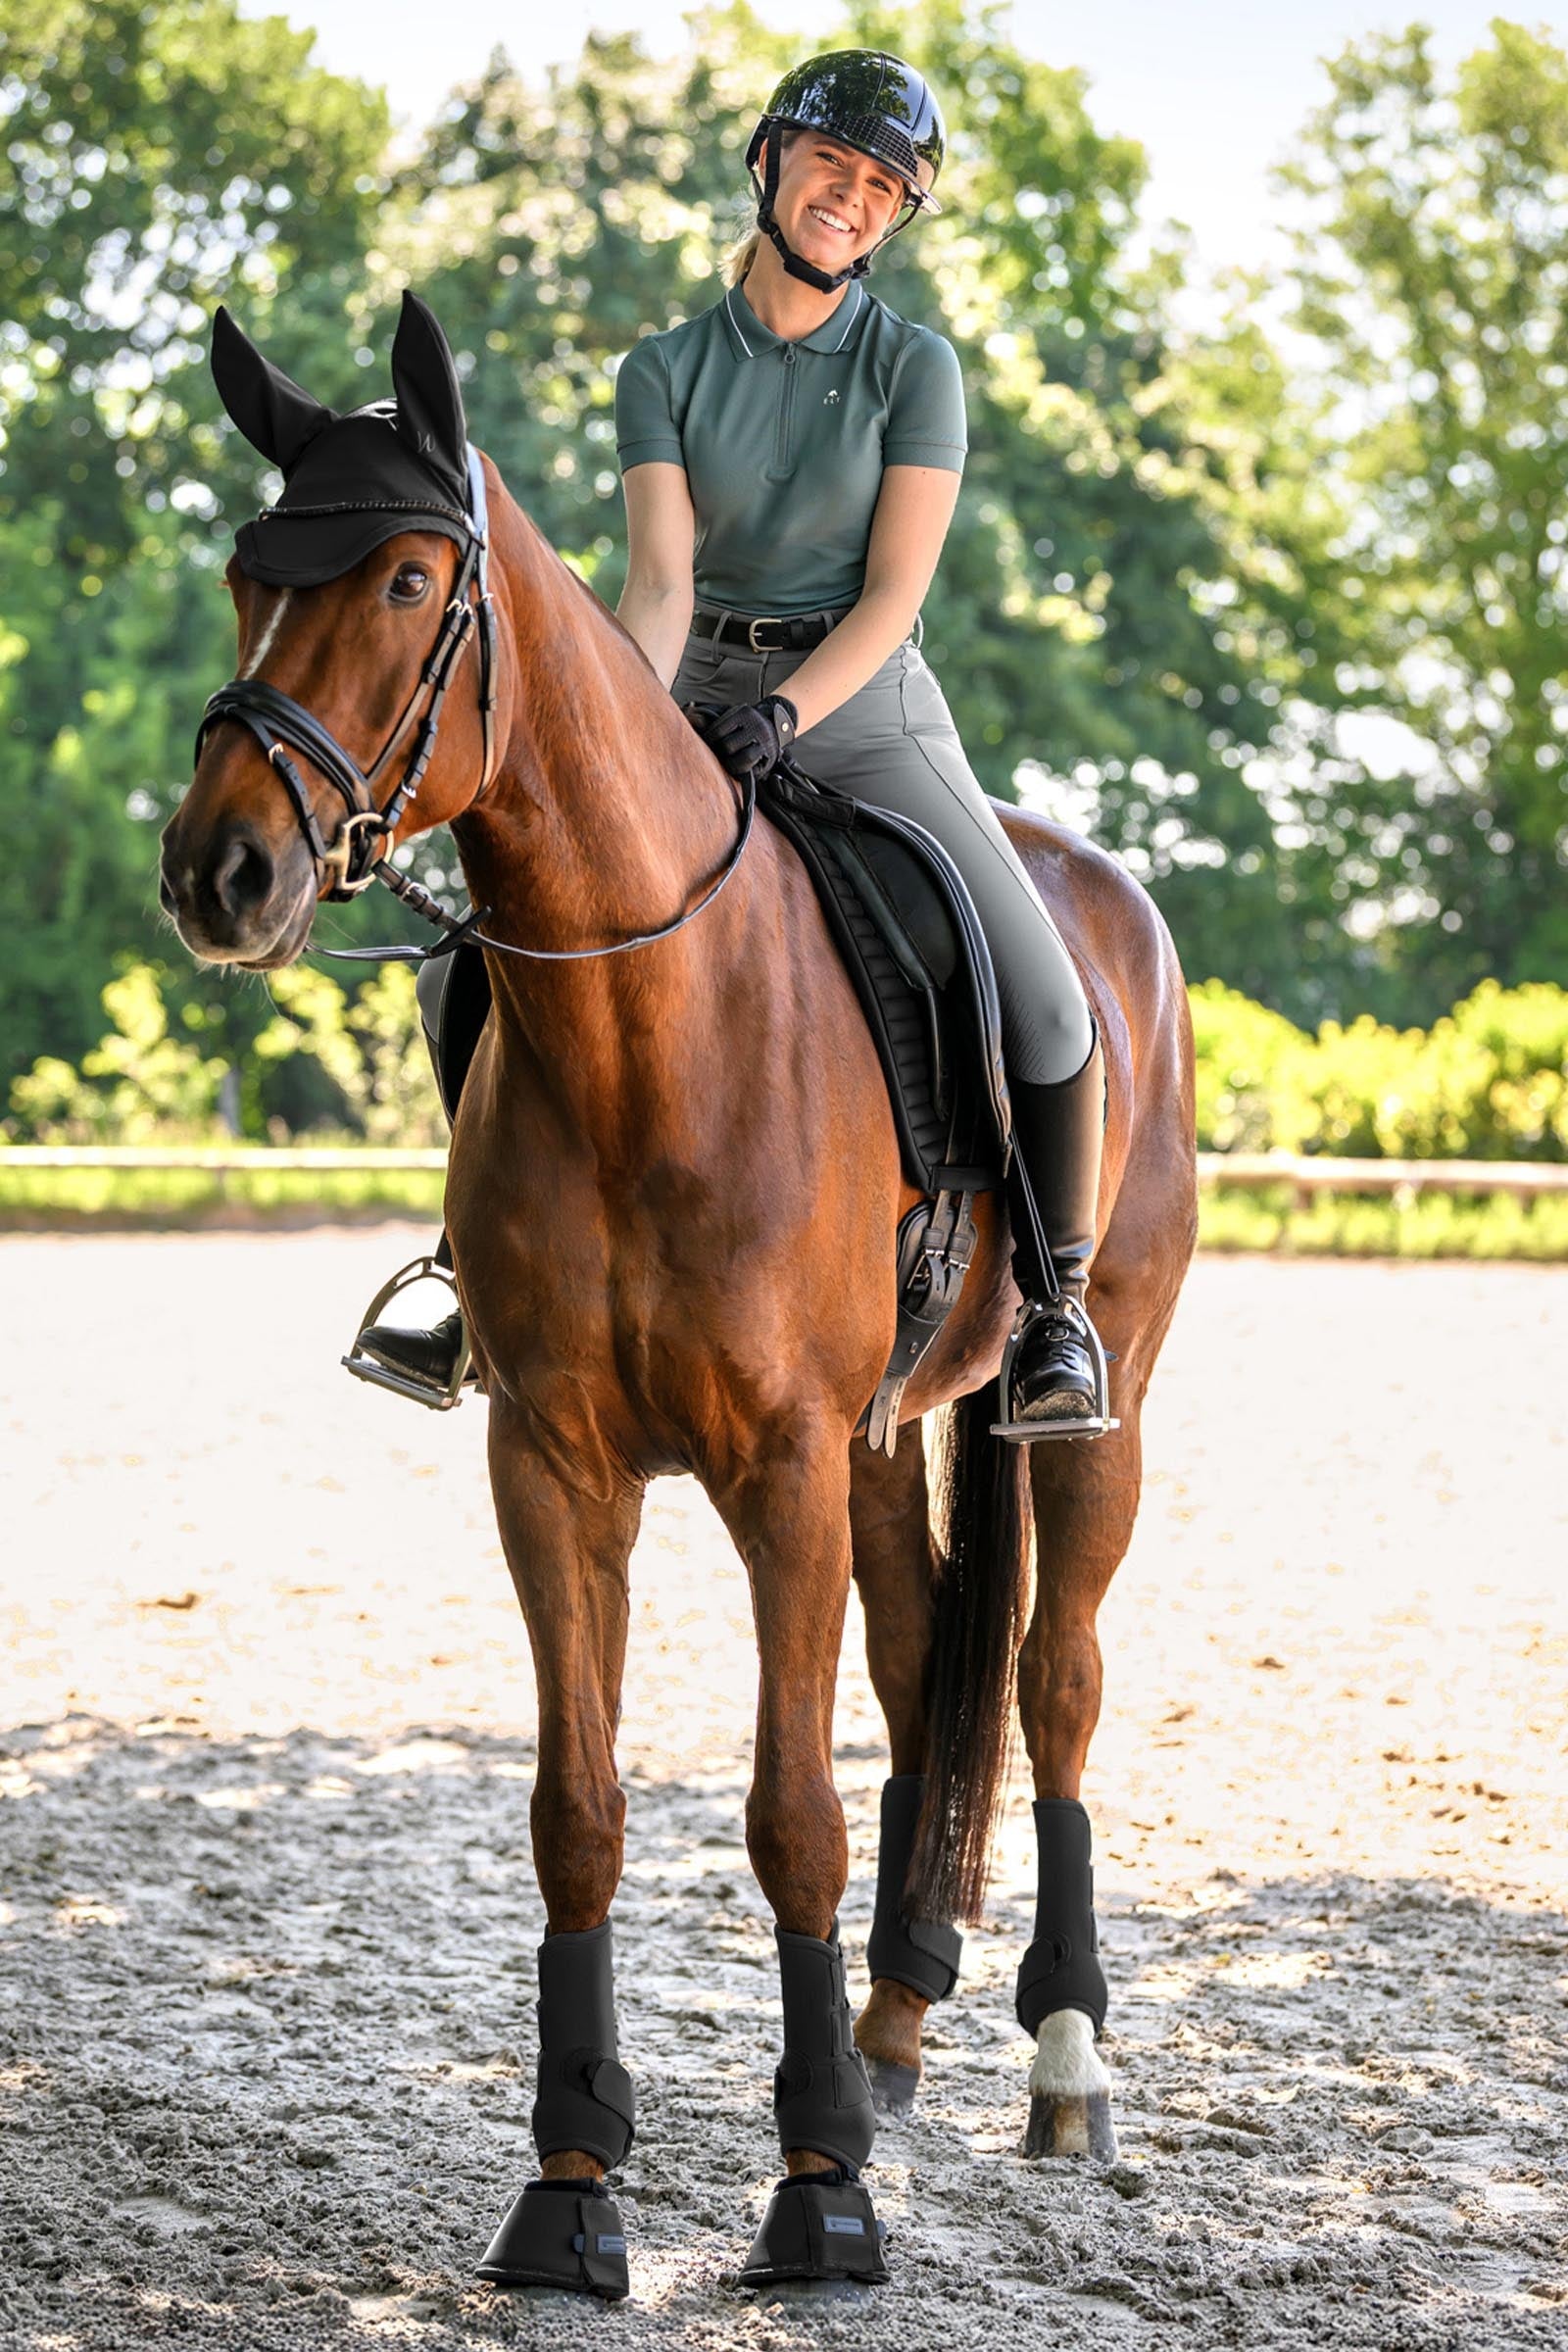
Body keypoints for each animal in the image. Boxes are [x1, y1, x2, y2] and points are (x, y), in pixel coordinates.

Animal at [160, 290, 1197, 2296]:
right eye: (250, 569)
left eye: (412, 579)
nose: (219, 871)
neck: (657, 1030)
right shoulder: (556, 1465)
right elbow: (578, 1812)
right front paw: (572, 2188)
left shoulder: (777, 1465)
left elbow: (788, 1814)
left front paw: (819, 2199)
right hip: (876, 1441)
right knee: (925, 1648)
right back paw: (890, 2030)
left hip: (1095, 1393)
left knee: (1055, 1677)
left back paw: (1059, 2059)